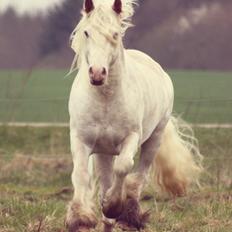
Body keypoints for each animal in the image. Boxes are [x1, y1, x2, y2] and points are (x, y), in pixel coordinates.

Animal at [65, 0, 203, 231]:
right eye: (86, 32)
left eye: (115, 34)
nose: (97, 73)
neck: (105, 99)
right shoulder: (81, 140)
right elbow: (81, 174)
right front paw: (80, 218)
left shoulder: (131, 138)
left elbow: (124, 167)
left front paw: (114, 207)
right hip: (103, 152)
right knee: (106, 182)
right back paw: (107, 219)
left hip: (154, 139)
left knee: (139, 175)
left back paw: (128, 214)